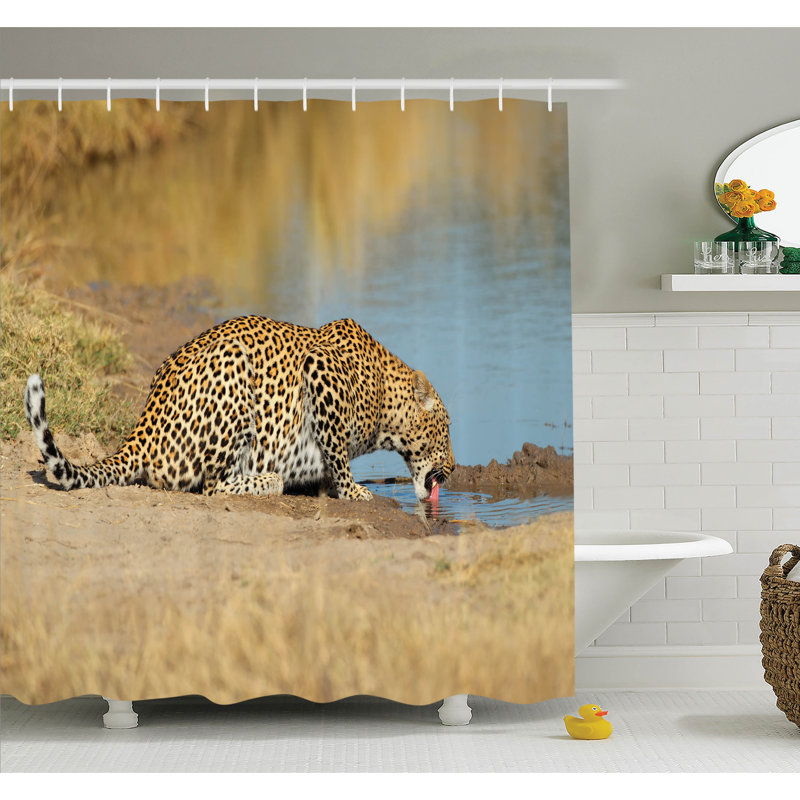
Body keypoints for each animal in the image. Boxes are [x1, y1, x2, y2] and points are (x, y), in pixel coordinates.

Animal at [25, 316, 455, 502]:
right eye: (447, 431)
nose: (452, 468)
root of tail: (141, 431)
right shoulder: (320, 369)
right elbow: (336, 449)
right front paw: (351, 490)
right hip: (234, 371)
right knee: (212, 485)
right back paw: (268, 480)